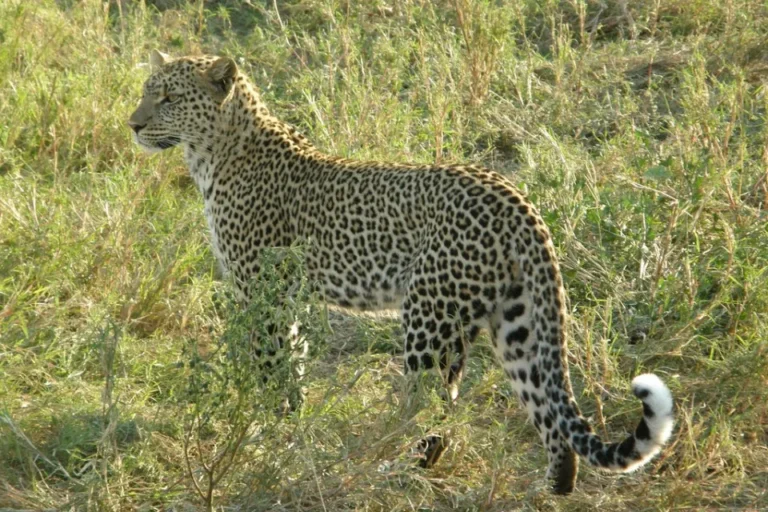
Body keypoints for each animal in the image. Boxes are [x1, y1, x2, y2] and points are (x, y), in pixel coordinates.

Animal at [127, 50, 672, 494]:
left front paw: (266, 429)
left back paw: (385, 463)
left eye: (169, 97)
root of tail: (517, 201)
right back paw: (552, 487)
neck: (213, 153)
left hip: (428, 317)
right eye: (146, 91)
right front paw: (291, 423)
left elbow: (270, 367)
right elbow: (293, 365)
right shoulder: (287, 296)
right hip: (515, 324)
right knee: (545, 410)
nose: (133, 125)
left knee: (429, 406)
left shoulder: (263, 290)